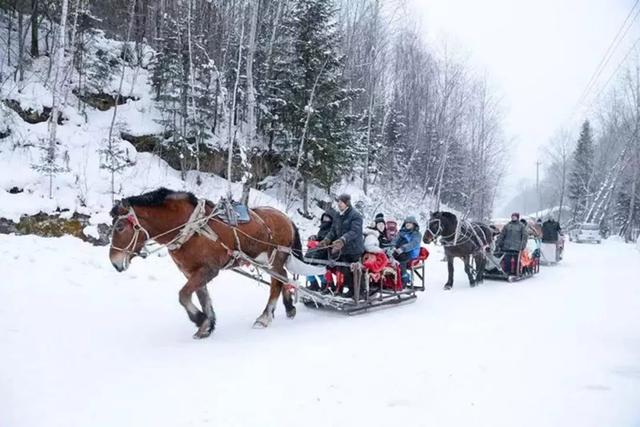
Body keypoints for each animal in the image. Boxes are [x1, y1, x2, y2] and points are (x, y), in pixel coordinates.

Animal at [109, 189, 302, 340]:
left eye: (119, 227)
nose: (114, 262)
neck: (190, 228)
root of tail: (287, 218)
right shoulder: (192, 272)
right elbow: (202, 298)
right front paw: (207, 325)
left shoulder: (209, 270)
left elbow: (183, 295)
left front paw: (200, 319)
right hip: (267, 261)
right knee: (284, 278)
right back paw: (289, 307)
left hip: (274, 258)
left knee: (277, 283)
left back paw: (264, 317)